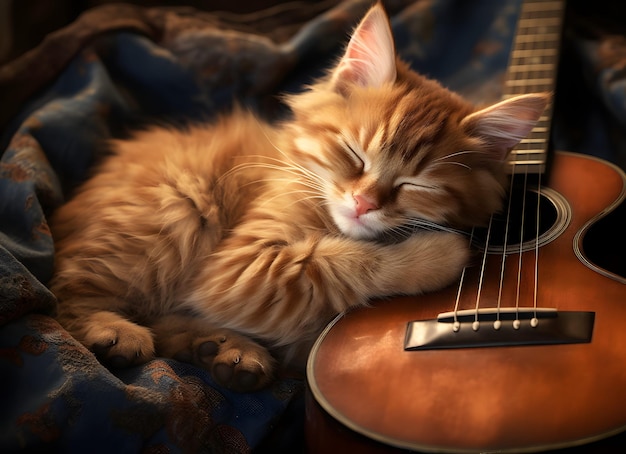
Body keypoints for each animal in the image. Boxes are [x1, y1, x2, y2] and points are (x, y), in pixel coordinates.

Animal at [48, 3, 544, 392]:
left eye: (416, 185)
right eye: (353, 154)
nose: (364, 203)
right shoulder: (239, 266)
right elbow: (340, 265)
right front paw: (437, 254)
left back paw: (224, 351)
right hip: (174, 209)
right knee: (66, 296)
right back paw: (117, 331)